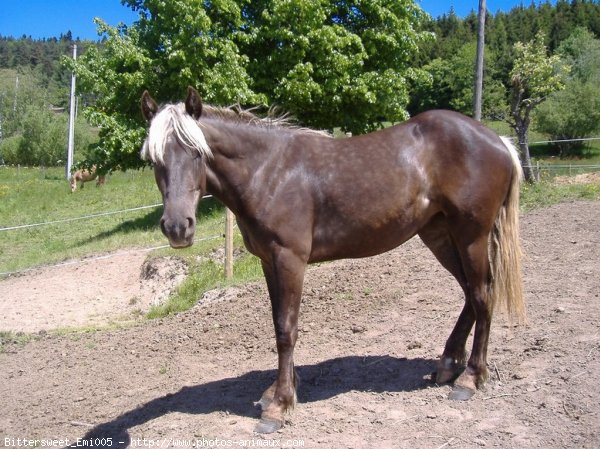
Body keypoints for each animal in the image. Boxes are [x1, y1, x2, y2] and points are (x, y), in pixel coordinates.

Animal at [141, 86, 524, 432]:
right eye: (154, 159)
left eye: (196, 153)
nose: (177, 227)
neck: (268, 171)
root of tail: (497, 141)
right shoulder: (268, 261)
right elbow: (277, 323)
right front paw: (279, 391)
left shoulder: (290, 259)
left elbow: (286, 329)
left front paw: (280, 406)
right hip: (440, 236)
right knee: (469, 294)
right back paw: (447, 365)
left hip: (471, 237)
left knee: (482, 295)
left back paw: (471, 378)